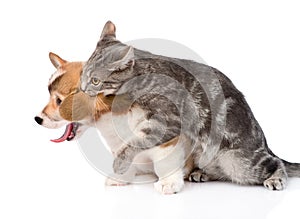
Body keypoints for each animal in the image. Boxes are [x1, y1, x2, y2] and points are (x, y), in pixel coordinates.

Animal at [79, 20, 300, 192]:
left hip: (240, 161)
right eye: (82, 75)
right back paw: (201, 173)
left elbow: (136, 141)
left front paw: (120, 161)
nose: (82, 88)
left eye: (95, 81)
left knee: (274, 162)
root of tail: (264, 143)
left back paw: (275, 177)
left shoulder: (168, 120)